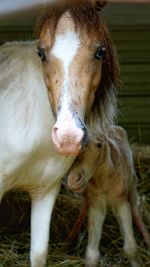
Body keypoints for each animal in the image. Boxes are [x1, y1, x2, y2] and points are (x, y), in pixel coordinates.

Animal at [67, 126, 150, 267]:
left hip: (132, 186)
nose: (74, 179)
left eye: (99, 145)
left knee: (136, 212)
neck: (104, 181)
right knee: (83, 209)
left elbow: (130, 248)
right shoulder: (96, 205)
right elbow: (92, 255)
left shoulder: (121, 202)